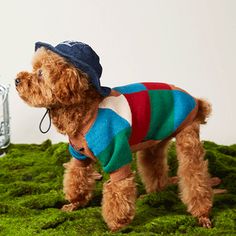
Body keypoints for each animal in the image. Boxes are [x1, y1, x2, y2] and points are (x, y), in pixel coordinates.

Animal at [15, 41, 217, 231]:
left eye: (40, 73)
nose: (16, 80)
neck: (87, 110)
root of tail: (197, 101)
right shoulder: (80, 156)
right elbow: (76, 176)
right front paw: (75, 203)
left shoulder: (116, 154)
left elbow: (118, 189)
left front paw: (116, 224)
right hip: (154, 141)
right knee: (155, 167)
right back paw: (155, 194)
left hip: (187, 137)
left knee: (195, 174)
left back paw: (202, 214)